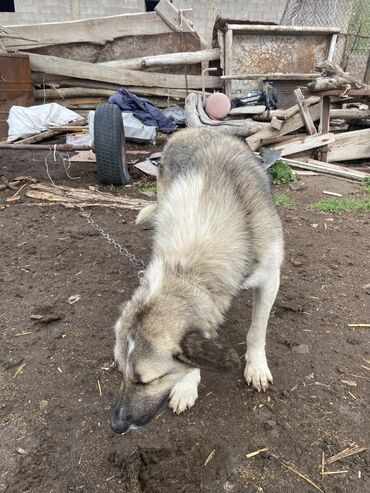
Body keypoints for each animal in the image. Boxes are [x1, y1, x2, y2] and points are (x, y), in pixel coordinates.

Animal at [110, 128, 284, 434]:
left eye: (147, 380)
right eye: (121, 371)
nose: (116, 425)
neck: (188, 268)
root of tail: (193, 128)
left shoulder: (270, 278)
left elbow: (257, 330)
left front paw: (256, 367)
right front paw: (187, 385)